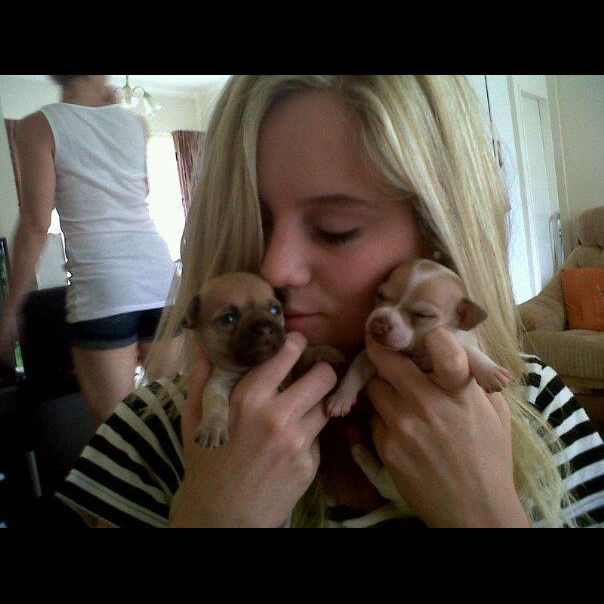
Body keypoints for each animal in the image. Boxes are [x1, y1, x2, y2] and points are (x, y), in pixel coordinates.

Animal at [181, 272, 344, 448]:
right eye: (228, 318)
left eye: (275, 310)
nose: (265, 329)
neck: (251, 366)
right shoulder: (218, 383)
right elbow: (216, 402)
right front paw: (212, 426)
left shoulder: (293, 371)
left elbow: (305, 356)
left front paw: (324, 351)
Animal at [325, 258, 512, 417]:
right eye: (380, 295)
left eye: (422, 315)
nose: (379, 324)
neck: (415, 354)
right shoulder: (367, 358)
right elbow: (354, 372)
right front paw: (340, 398)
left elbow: (468, 350)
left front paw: (490, 371)